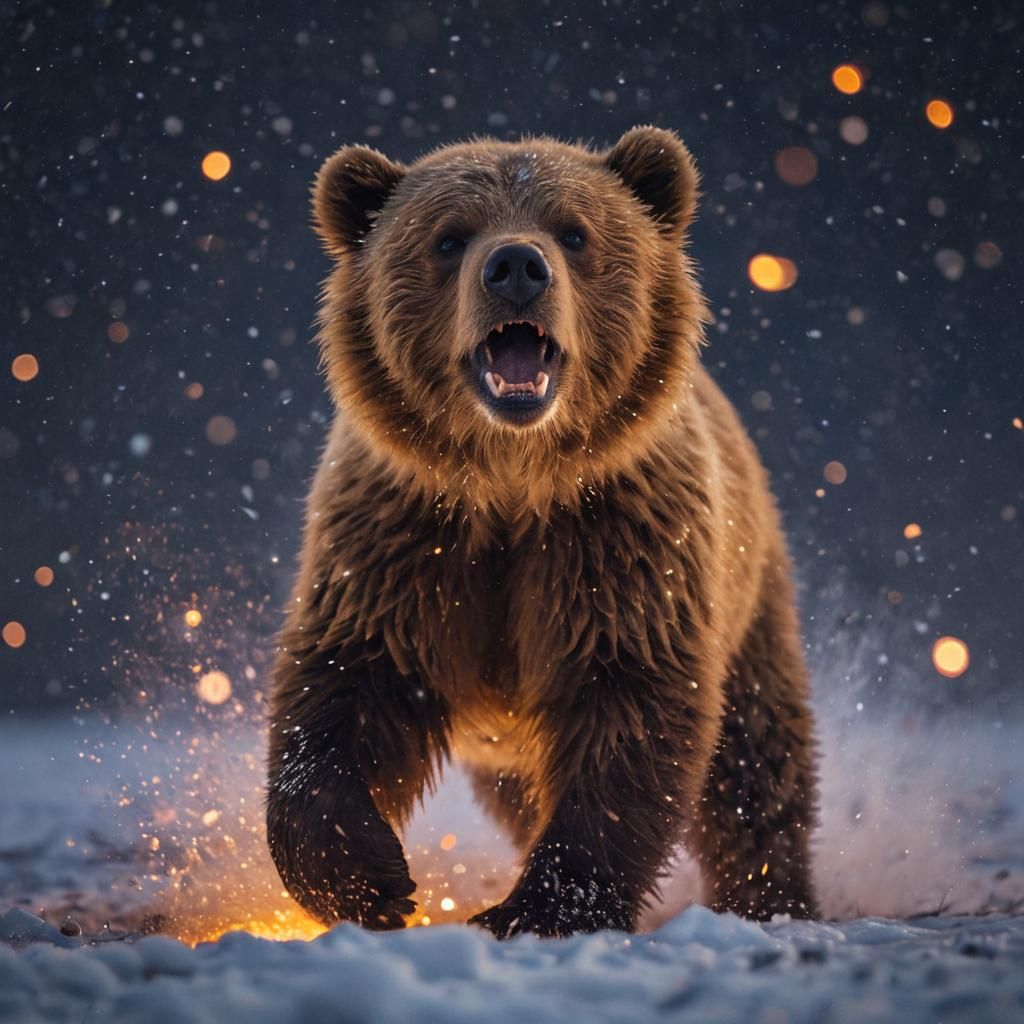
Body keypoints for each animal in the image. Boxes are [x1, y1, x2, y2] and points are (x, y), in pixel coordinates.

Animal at [265, 126, 818, 939]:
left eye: (574, 231)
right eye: (449, 237)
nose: (517, 267)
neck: (512, 483)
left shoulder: (616, 546)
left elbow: (628, 710)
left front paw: (537, 907)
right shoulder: (403, 544)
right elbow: (347, 690)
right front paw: (373, 880)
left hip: (750, 597)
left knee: (755, 764)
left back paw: (775, 897)